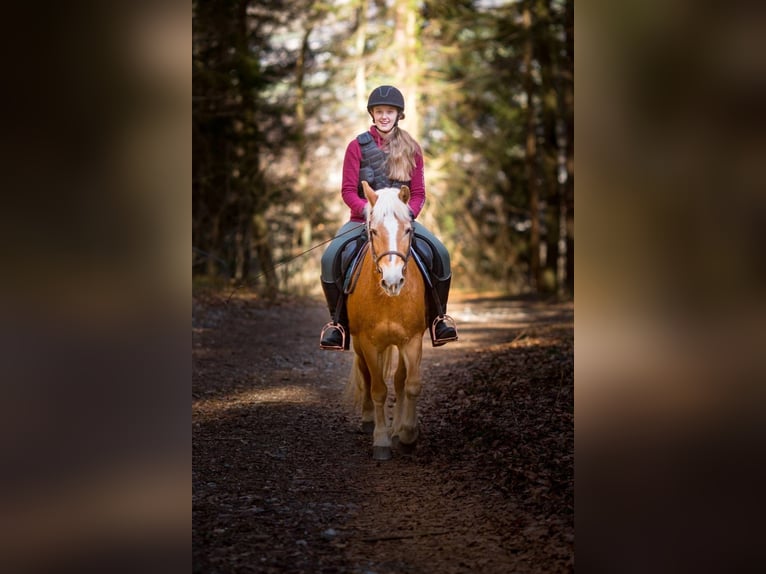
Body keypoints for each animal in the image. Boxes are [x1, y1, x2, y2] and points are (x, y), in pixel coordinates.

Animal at [346, 182, 428, 462]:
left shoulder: (412, 340)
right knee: (366, 375)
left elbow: (411, 385)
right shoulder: (369, 343)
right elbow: (379, 389)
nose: (392, 281)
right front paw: (381, 440)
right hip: (359, 345)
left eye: (408, 230)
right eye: (373, 230)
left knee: (400, 380)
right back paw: (369, 420)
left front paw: (407, 435)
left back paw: (397, 429)